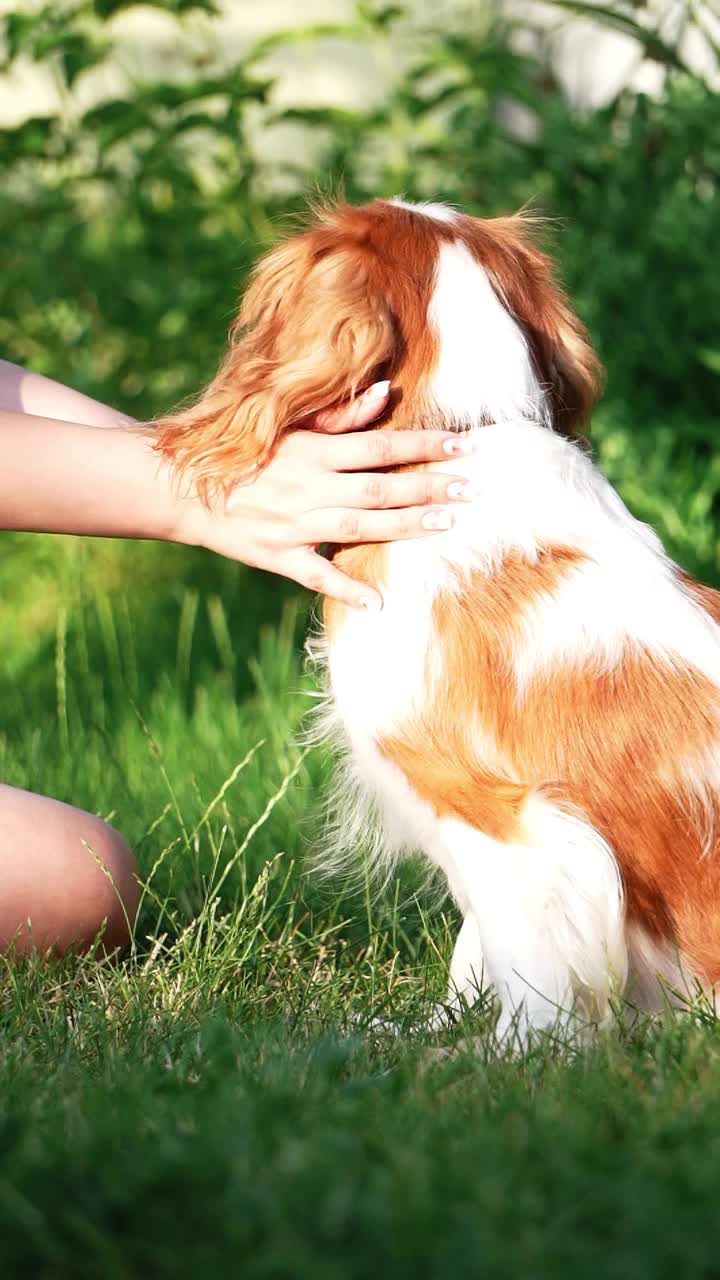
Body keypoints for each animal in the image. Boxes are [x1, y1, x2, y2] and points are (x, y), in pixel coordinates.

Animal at [154, 197, 717, 1039]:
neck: (465, 432)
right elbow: (473, 949)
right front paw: (436, 1034)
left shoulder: (514, 823)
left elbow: (529, 975)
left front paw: (513, 1059)